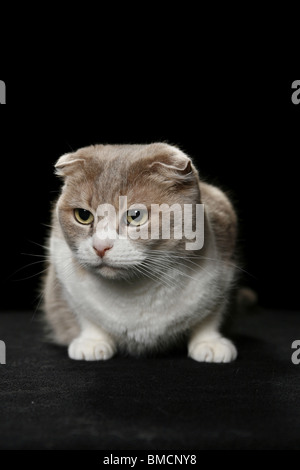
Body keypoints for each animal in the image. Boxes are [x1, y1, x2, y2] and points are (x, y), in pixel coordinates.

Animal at [43, 143, 238, 364]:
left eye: (135, 216)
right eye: (83, 215)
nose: (100, 246)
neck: (135, 291)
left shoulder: (223, 267)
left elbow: (211, 316)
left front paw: (209, 342)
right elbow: (85, 316)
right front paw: (92, 342)